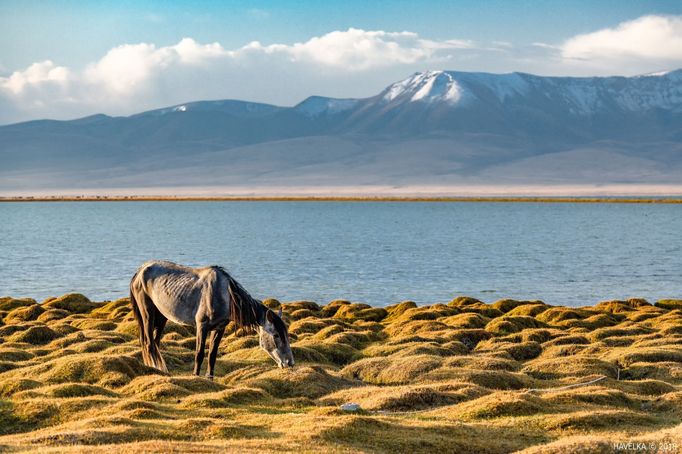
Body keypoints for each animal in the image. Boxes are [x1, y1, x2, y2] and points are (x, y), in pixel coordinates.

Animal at [129, 260, 294, 378]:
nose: (290, 363)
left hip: (162, 317)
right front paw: (196, 376)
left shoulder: (219, 328)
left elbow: (212, 354)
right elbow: (199, 353)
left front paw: (210, 377)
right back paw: (157, 369)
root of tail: (139, 270)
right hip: (148, 314)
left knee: (155, 342)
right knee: (149, 342)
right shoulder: (202, 326)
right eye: (276, 335)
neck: (225, 295)